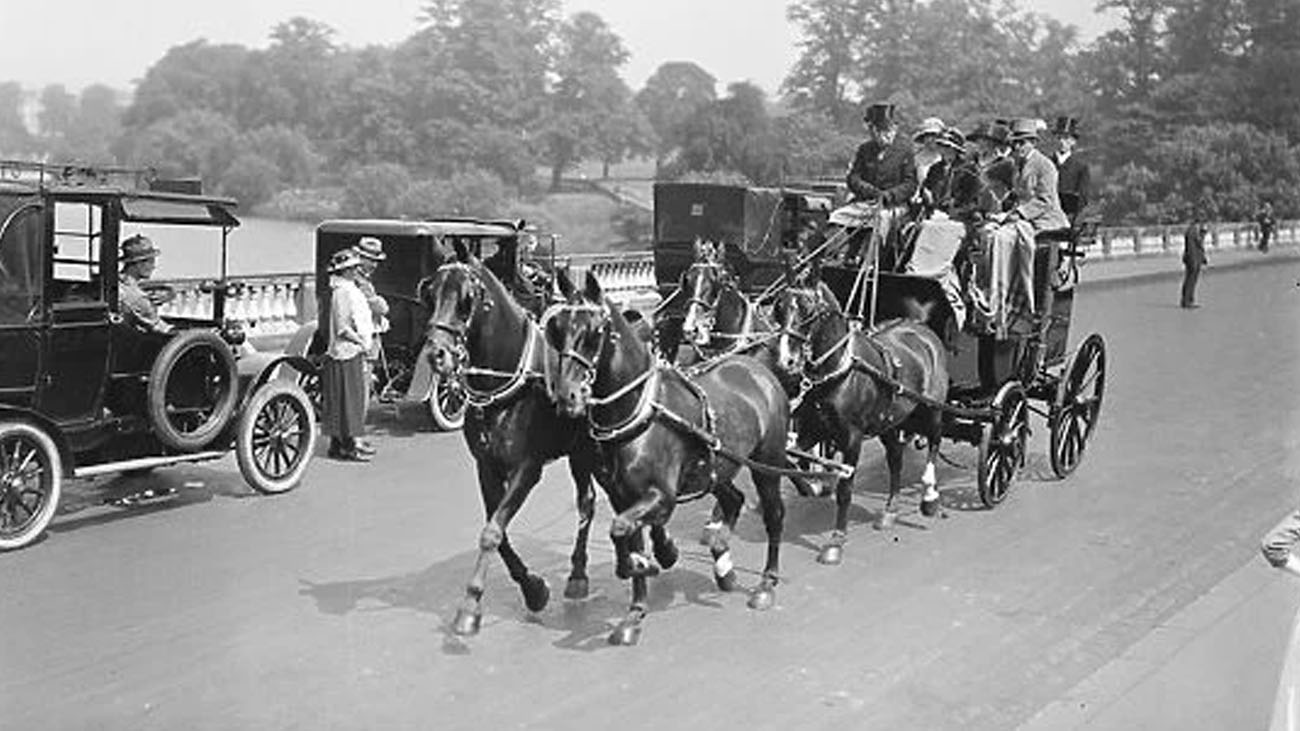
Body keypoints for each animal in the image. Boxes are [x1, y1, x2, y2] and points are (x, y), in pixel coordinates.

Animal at [421, 241, 681, 634]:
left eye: (466, 298)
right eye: (430, 293)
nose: (437, 353)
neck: (507, 383)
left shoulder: (527, 468)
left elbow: (492, 532)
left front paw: (472, 602)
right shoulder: (486, 468)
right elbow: (498, 531)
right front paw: (532, 588)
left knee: (604, 501)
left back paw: (654, 549)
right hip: (582, 452)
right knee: (591, 502)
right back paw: (588, 570)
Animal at [540, 269, 785, 642]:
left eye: (595, 332)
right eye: (557, 329)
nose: (567, 397)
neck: (640, 412)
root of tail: (757, 368)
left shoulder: (661, 495)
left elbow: (621, 529)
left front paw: (650, 561)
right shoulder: (623, 495)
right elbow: (625, 534)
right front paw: (635, 607)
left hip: (767, 465)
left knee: (774, 515)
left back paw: (766, 583)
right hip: (717, 467)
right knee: (733, 499)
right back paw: (722, 560)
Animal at [769, 262, 946, 564]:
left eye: (808, 309)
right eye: (779, 308)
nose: (785, 361)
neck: (839, 370)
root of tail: (919, 327)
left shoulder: (851, 438)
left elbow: (845, 490)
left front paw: (836, 541)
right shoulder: (812, 429)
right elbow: (790, 457)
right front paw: (813, 486)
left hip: (932, 409)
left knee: (934, 442)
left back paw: (929, 496)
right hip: (890, 422)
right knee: (895, 461)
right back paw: (890, 509)